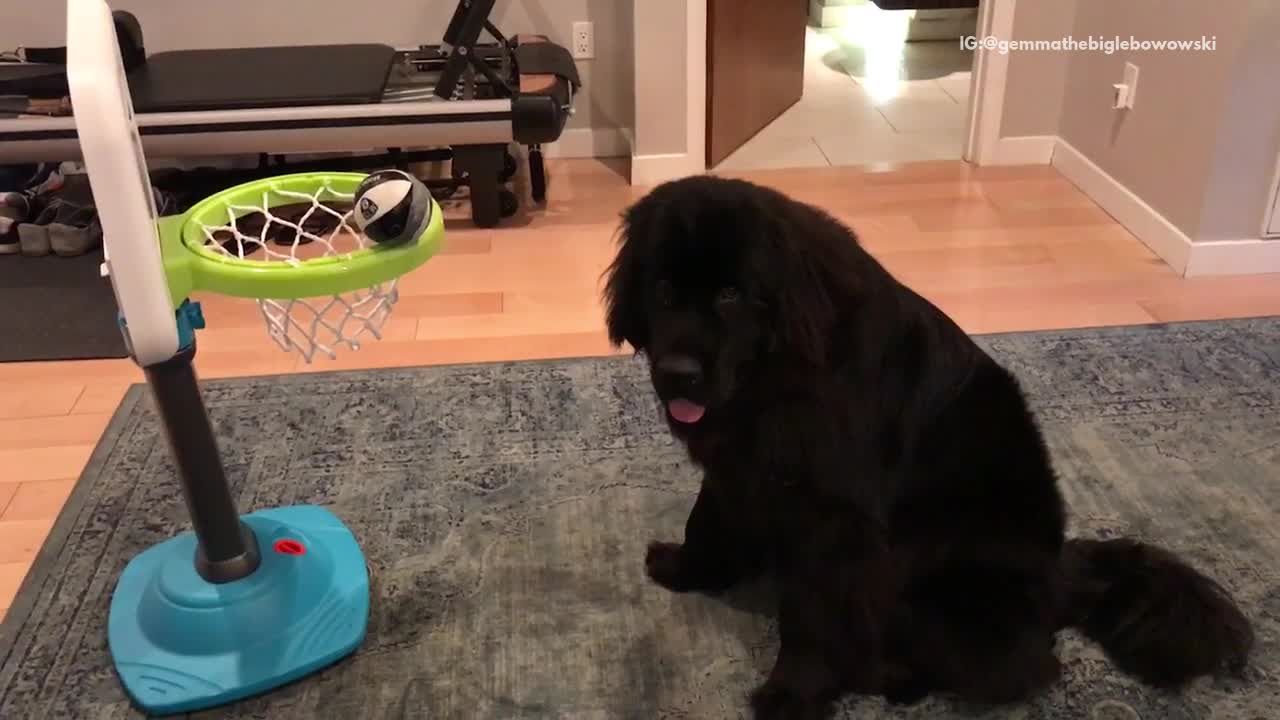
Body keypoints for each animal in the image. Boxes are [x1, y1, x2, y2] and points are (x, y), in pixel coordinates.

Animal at [604, 174, 1254, 717]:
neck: (779, 374)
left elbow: (813, 617)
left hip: (949, 584)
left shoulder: (838, 523)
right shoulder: (739, 466)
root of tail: (1062, 575)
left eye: (732, 294)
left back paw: (892, 676)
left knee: (1024, 665)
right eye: (661, 288)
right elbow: (707, 520)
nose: (678, 374)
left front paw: (792, 695)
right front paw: (688, 568)